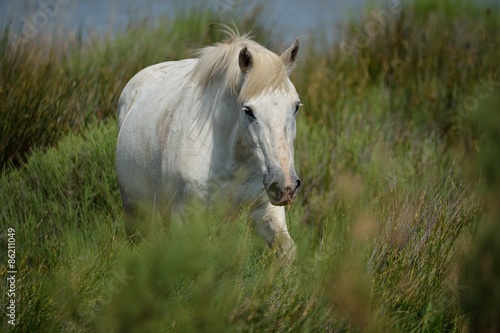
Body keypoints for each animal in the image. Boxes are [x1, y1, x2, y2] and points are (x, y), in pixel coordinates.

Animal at [115, 29, 300, 260]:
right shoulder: (186, 216)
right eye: (248, 110)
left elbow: (287, 251)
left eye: (296, 106)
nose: (285, 187)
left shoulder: (266, 211)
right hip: (136, 212)